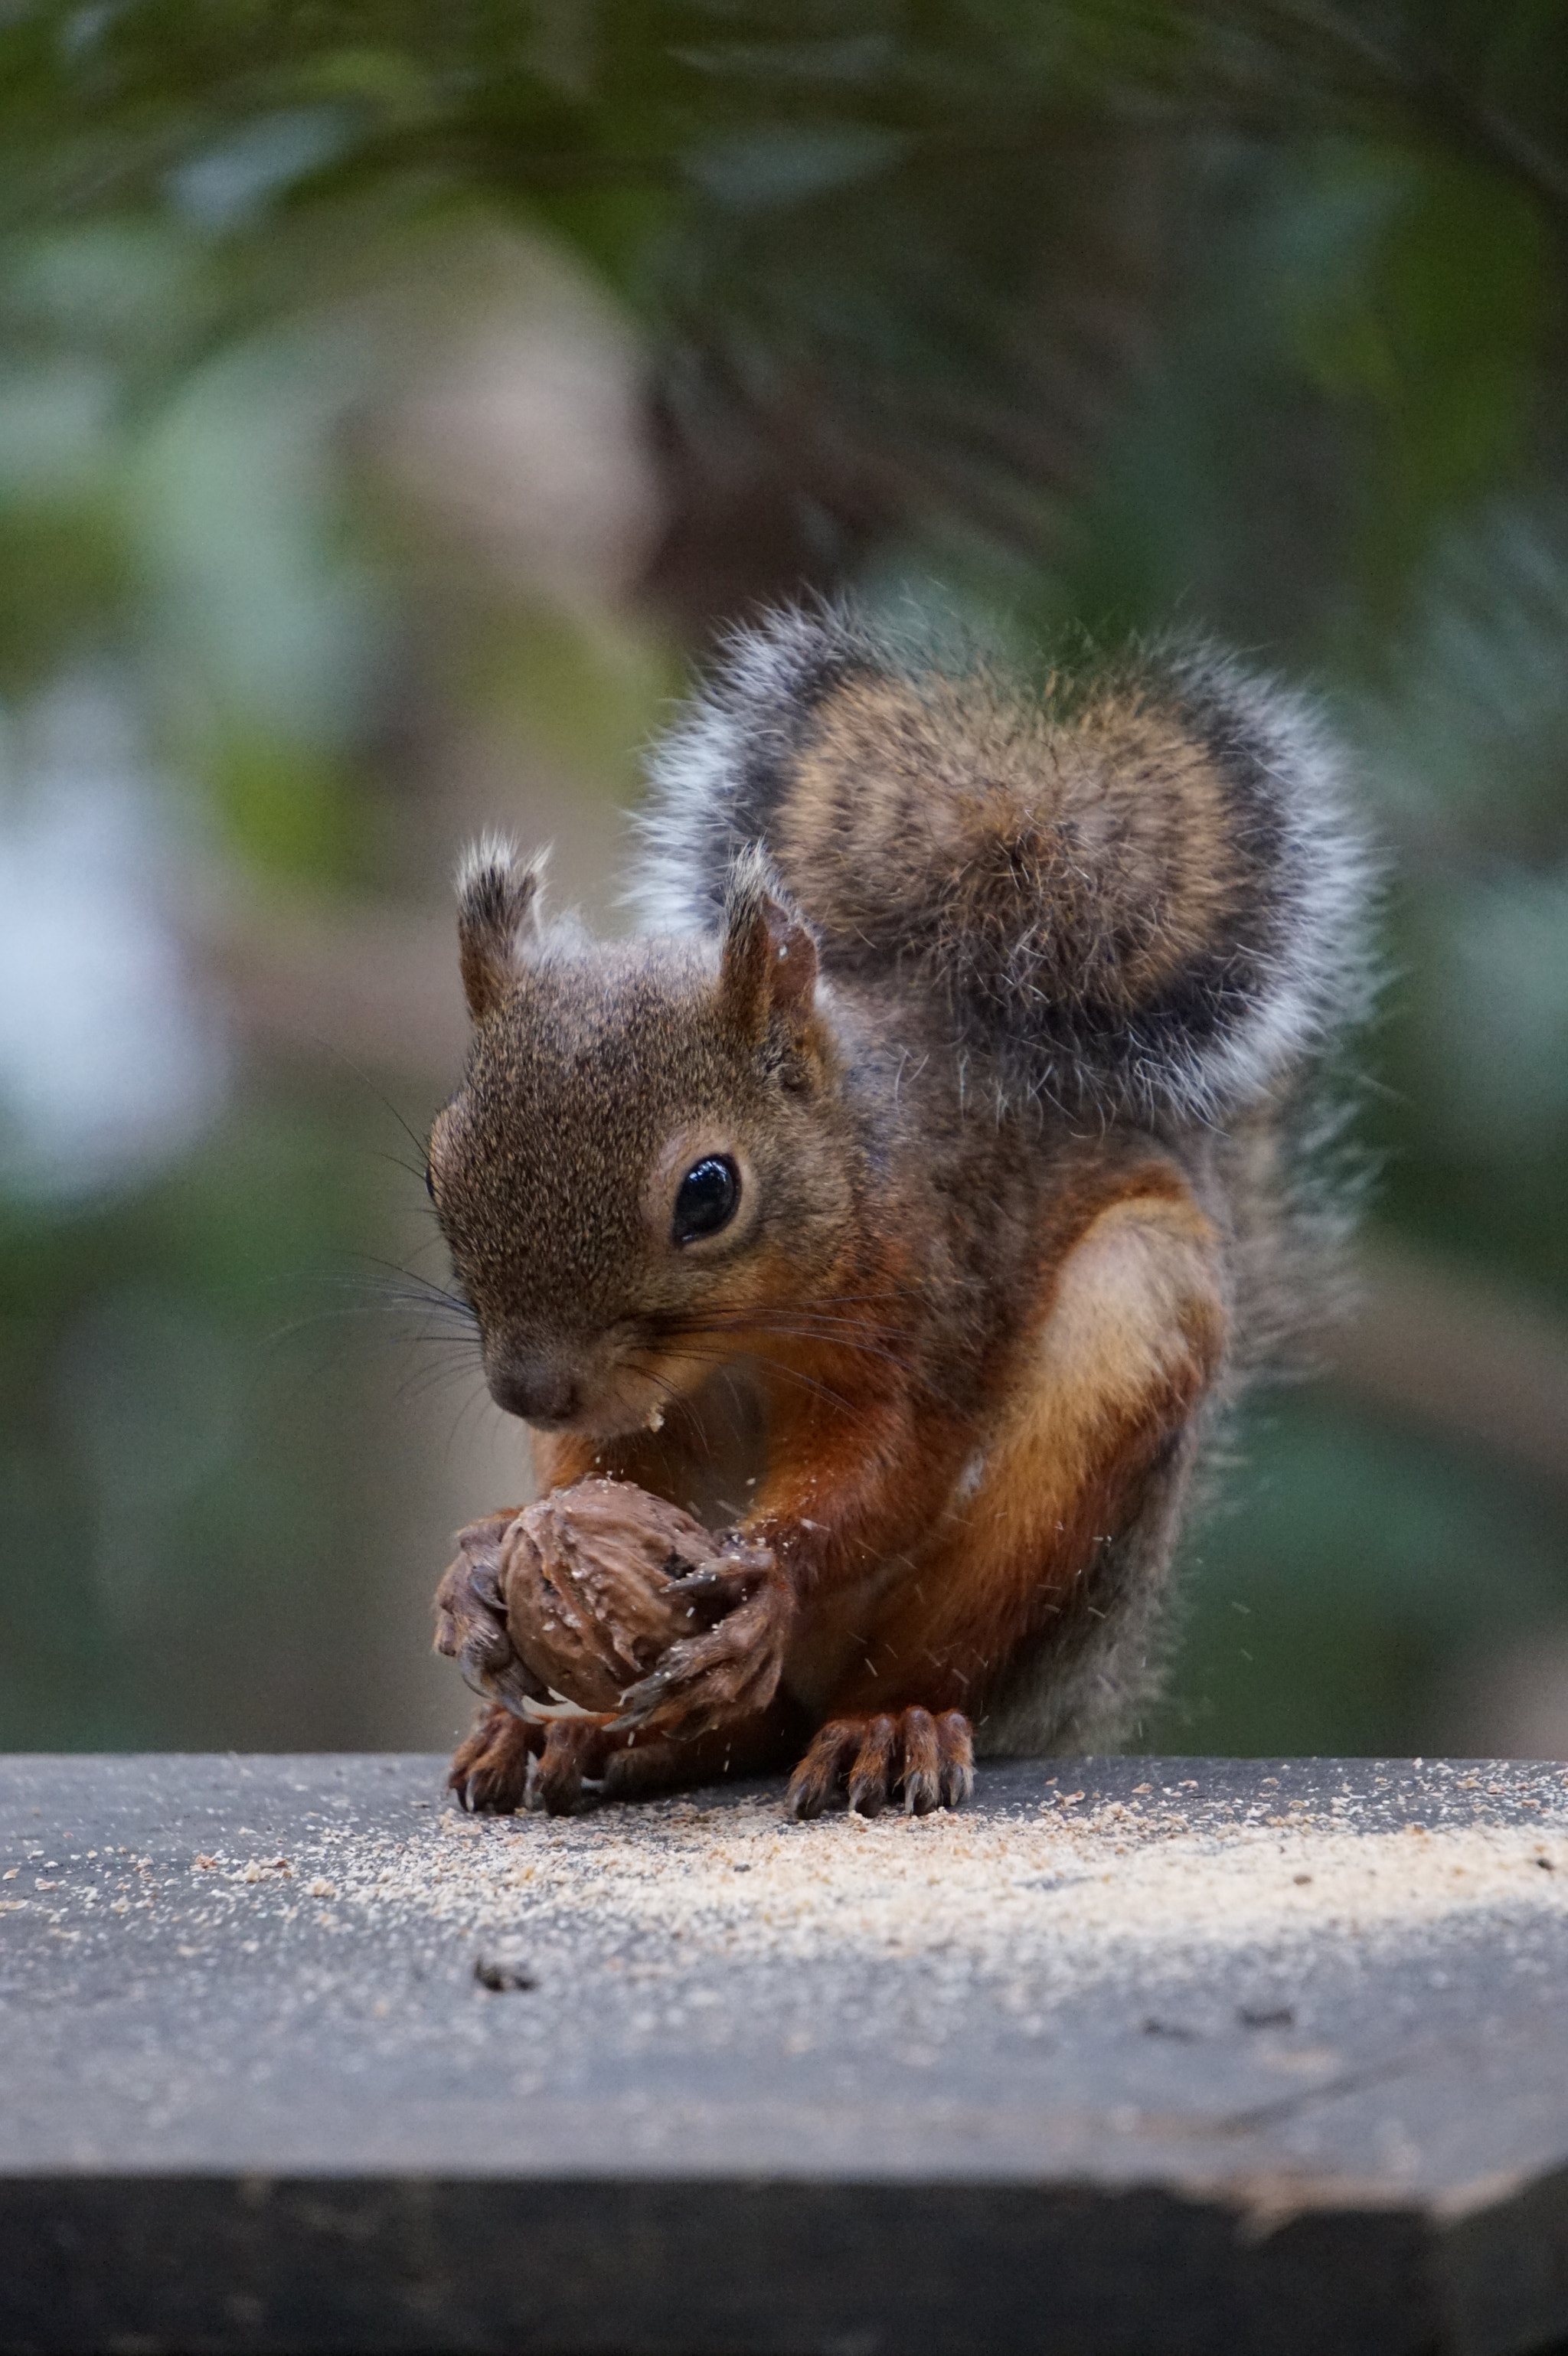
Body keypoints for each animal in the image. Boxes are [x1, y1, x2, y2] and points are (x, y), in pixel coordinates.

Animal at [427, 602, 1371, 1818]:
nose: (530, 1391)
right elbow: (598, 1474)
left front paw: (770, 1571)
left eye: (708, 1192)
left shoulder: (928, 1287)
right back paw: (568, 1734)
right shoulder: (638, 1405)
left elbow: (891, 1458)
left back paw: (884, 1726)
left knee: (890, 1676)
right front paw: (490, 1556)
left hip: (1106, 1391)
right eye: (441, 1163)